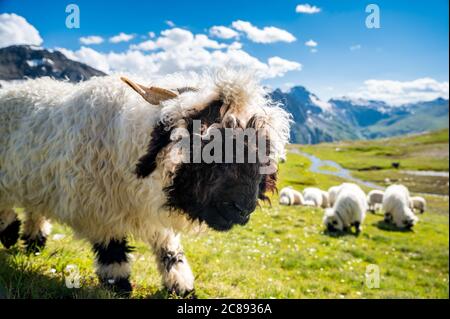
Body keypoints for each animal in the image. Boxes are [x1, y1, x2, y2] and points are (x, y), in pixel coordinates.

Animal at [0, 70, 292, 298]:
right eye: (208, 146)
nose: (243, 210)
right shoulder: (100, 211)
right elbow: (113, 252)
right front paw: (119, 286)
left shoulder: (153, 209)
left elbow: (170, 249)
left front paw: (182, 285)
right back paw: (10, 232)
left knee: (35, 207)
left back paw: (34, 241)